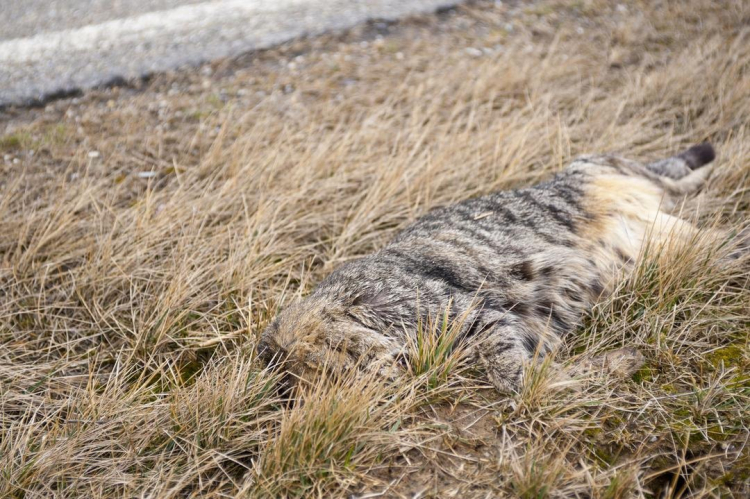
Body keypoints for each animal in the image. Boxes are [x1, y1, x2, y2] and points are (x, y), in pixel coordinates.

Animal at [258, 143, 726, 392]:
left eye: (352, 362)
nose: (395, 372)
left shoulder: (468, 312)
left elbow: (509, 371)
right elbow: (525, 374)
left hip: (606, 167)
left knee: (668, 171)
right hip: (663, 235)